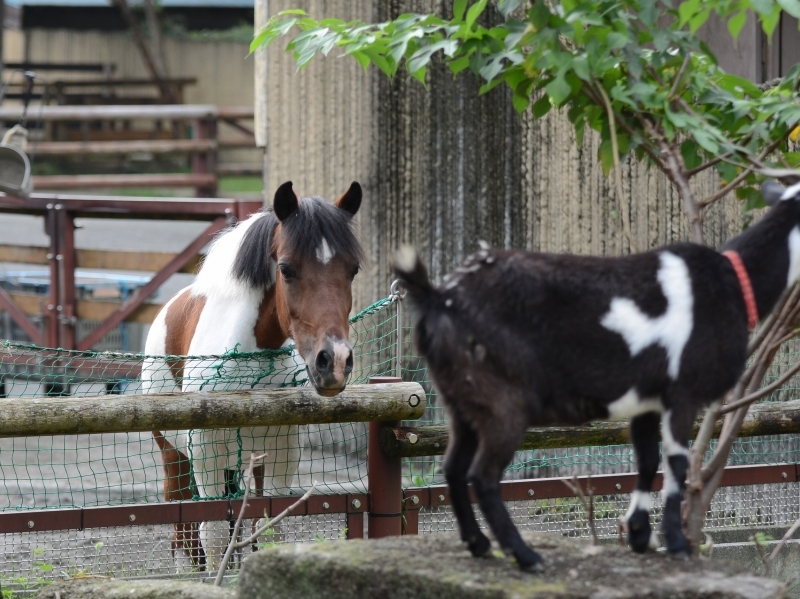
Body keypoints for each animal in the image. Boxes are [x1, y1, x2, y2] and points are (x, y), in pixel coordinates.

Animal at [142, 180, 364, 568]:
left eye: (352, 269)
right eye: (286, 269)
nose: (334, 361)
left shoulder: (281, 450)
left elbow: (268, 528)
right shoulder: (205, 451)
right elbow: (213, 534)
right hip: (174, 455)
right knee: (182, 532)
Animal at [394, 182, 800, 572]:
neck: (733, 283)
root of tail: (436, 298)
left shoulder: (647, 401)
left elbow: (647, 460)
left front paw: (639, 536)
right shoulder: (682, 393)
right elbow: (676, 464)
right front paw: (677, 544)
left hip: (461, 400)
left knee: (453, 467)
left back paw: (479, 545)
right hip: (501, 400)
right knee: (483, 475)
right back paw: (526, 556)